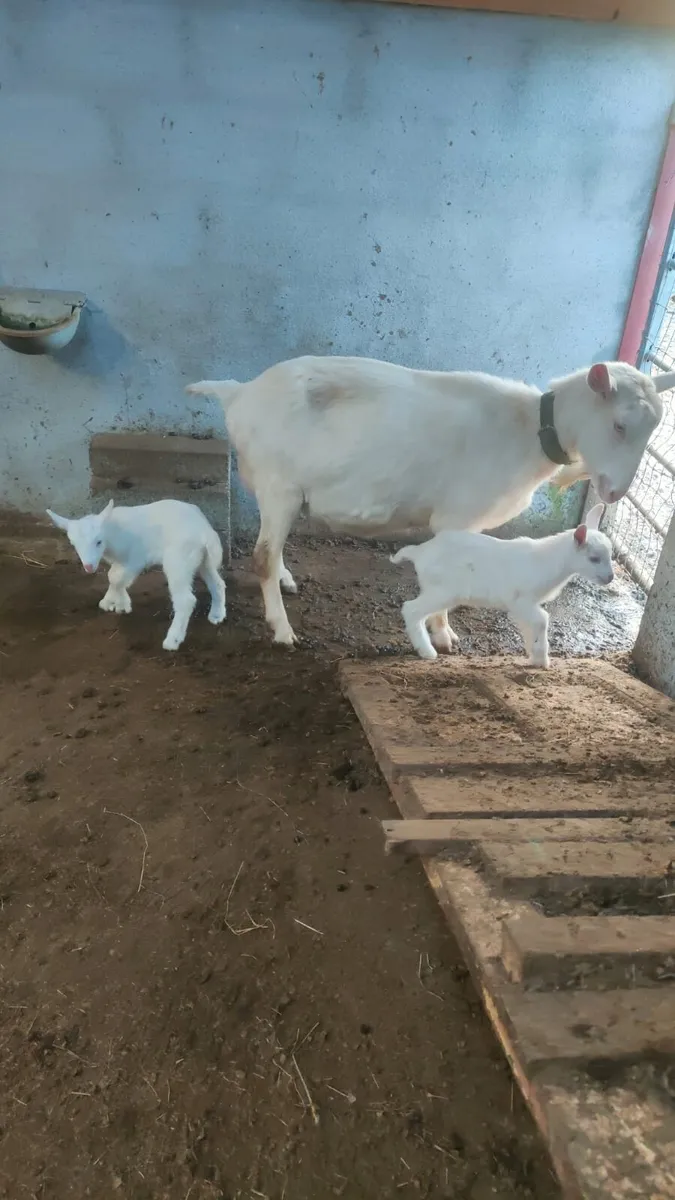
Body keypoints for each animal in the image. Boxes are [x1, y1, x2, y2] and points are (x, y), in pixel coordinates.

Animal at [46, 499, 226, 651]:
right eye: (73, 543)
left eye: (98, 541)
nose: (89, 567)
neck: (113, 533)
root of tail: (205, 532)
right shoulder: (121, 561)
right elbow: (113, 575)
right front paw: (111, 602)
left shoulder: (135, 558)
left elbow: (115, 577)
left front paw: (121, 604)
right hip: (204, 559)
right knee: (217, 583)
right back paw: (217, 614)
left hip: (178, 559)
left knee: (186, 600)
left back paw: (173, 639)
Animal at [186, 356, 675, 648]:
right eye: (618, 425)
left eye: (654, 428)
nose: (615, 493)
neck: (526, 431)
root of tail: (239, 392)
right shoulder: (457, 518)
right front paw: (445, 635)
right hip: (279, 484)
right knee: (263, 556)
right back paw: (282, 628)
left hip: (274, 491)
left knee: (273, 548)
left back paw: (287, 582)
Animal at [390, 503, 613, 667]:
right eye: (594, 558)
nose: (610, 578)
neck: (547, 561)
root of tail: (419, 552)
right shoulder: (521, 599)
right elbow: (543, 620)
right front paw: (542, 659)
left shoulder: (525, 606)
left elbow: (530, 625)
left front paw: (534, 655)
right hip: (444, 591)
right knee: (411, 609)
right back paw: (426, 651)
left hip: (436, 588)